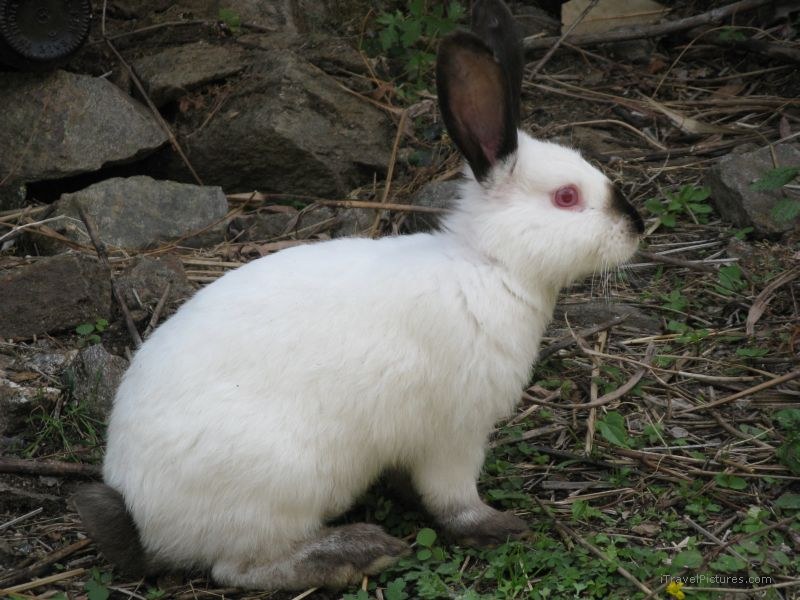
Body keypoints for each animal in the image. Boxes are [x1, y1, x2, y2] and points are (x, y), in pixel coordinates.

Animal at [73, 0, 644, 591]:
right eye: (567, 197)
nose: (637, 227)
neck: (486, 265)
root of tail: (143, 516)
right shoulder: (455, 434)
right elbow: (454, 498)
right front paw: (498, 526)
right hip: (285, 486)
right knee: (242, 568)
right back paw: (357, 551)